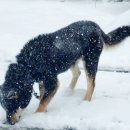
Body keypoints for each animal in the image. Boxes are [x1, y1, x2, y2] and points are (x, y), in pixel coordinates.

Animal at [0, 20, 130, 125]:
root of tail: (96, 26)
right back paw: (69, 91)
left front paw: (37, 116)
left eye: (12, 106)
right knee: (77, 73)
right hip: (71, 59)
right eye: (5, 108)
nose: (8, 123)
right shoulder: (43, 81)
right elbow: (43, 98)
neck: (28, 64)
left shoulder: (52, 82)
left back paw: (85, 102)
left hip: (90, 61)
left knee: (91, 84)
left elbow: (41, 103)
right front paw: (44, 111)